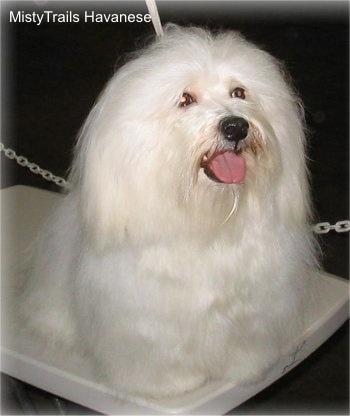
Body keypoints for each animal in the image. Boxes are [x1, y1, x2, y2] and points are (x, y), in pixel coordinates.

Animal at [19, 24, 318, 398]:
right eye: (185, 99)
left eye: (239, 92)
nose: (236, 126)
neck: (211, 221)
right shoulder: (147, 320)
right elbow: (162, 357)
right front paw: (173, 385)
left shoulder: (255, 311)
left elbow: (244, 346)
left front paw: (244, 370)